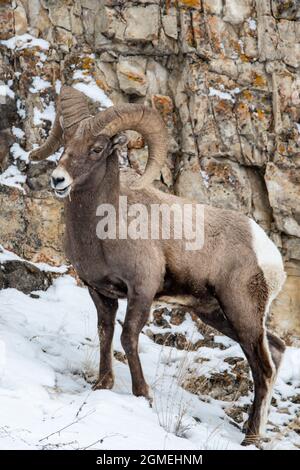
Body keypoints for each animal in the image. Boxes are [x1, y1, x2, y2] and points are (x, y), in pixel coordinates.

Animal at [30, 87, 286, 444]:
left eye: (97, 148)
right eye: (66, 143)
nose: (58, 180)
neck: (104, 228)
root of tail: (269, 254)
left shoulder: (142, 290)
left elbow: (128, 337)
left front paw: (143, 395)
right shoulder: (100, 292)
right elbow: (105, 333)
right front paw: (102, 385)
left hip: (242, 313)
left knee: (263, 367)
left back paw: (250, 438)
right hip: (218, 315)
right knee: (275, 350)